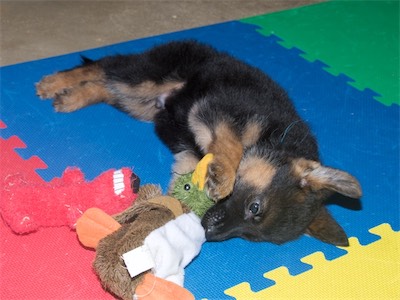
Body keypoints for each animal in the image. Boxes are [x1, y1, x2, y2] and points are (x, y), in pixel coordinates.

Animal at [36, 39, 362, 246]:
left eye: (250, 236)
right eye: (254, 207)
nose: (210, 233)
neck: (273, 139)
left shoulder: (189, 154)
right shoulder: (214, 110)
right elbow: (231, 146)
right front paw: (225, 176)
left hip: (141, 104)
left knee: (104, 87)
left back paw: (73, 96)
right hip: (146, 77)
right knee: (102, 67)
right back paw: (55, 83)